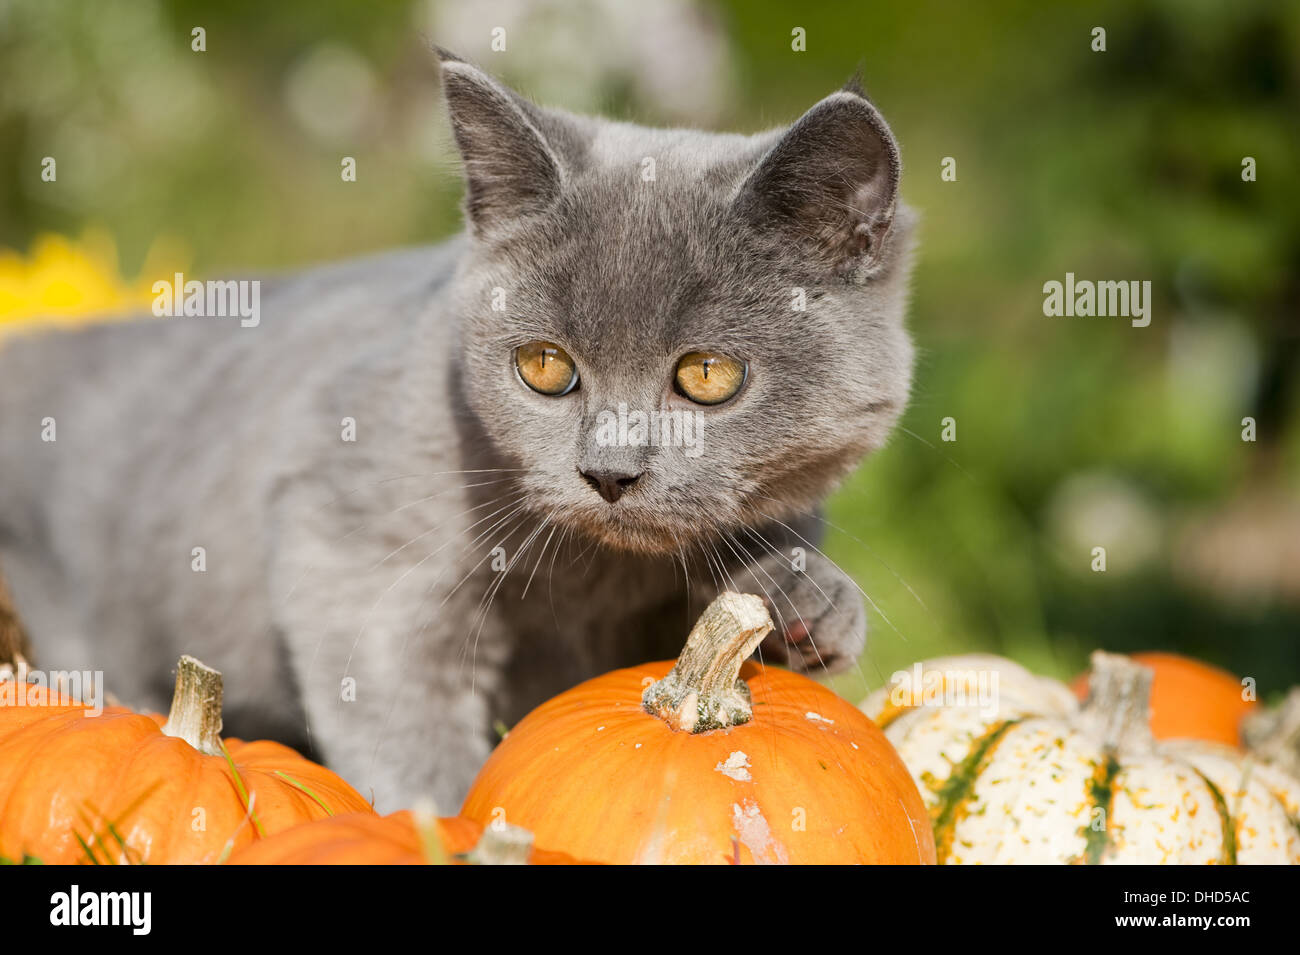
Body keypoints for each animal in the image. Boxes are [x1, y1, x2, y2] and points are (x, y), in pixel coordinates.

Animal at [0, 52, 915, 810]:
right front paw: (449, 827)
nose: (609, 471)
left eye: (708, 374)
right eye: (545, 365)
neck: (599, 577)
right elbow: (401, 717)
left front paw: (806, 599)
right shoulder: (353, 549)